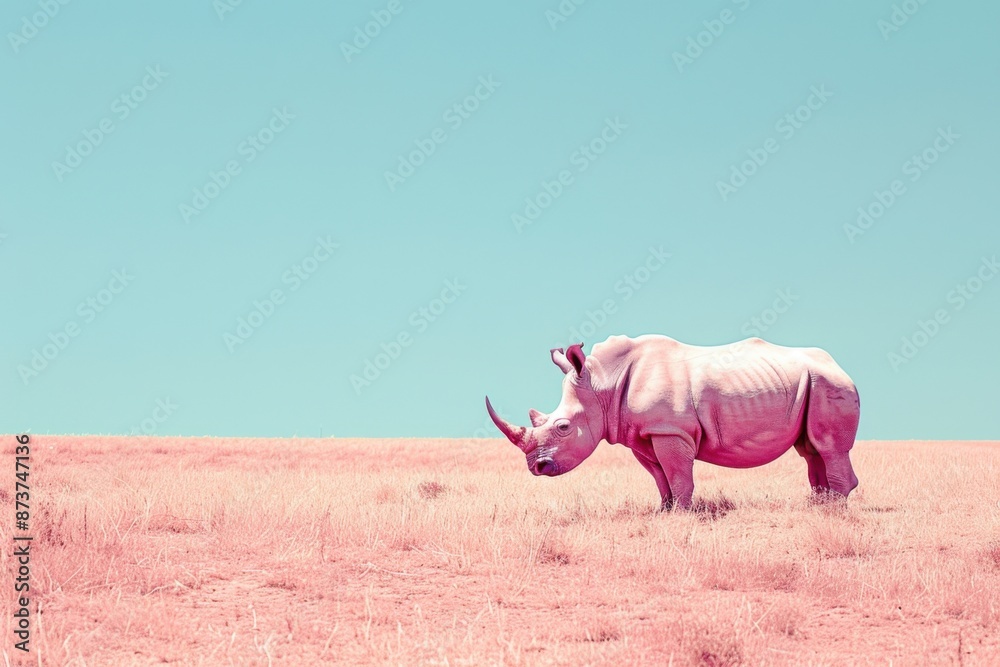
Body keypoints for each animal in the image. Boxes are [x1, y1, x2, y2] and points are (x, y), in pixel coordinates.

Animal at [485, 335, 860, 510]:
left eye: (562, 427)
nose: (537, 468)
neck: (603, 384)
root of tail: (840, 366)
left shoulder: (671, 430)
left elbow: (678, 474)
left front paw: (681, 513)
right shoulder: (643, 433)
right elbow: (659, 476)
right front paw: (663, 511)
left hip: (829, 384)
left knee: (827, 446)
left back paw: (834, 510)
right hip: (813, 383)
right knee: (810, 449)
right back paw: (818, 504)